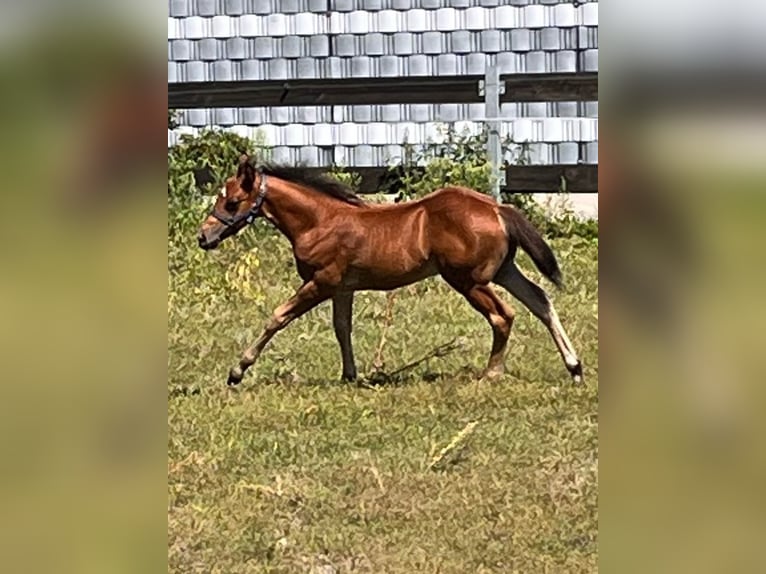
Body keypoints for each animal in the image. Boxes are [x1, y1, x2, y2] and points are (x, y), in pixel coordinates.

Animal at [197, 155, 583, 386]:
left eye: (232, 202)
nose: (204, 237)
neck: (319, 221)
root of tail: (497, 207)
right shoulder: (343, 287)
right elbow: (342, 328)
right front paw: (350, 376)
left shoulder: (321, 281)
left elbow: (278, 316)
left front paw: (237, 371)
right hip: (503, 270)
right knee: (540, 300)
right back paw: (575, 367)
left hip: (468, 279)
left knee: (504, 315)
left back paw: (490, 373)